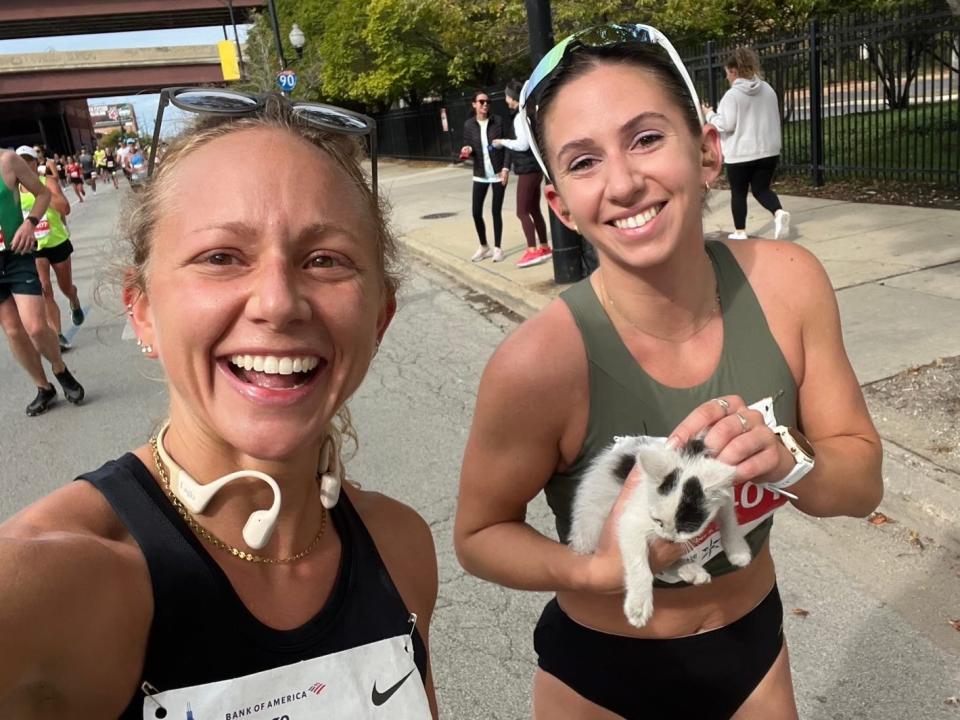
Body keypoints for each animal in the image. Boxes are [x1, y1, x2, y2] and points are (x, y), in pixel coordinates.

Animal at [568, 436, 752, 628]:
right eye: (658, 521)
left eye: (686, 527)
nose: (668, 538)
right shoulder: (630, 519)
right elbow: (639, 563)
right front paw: (638, 605)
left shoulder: (723, 495)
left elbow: (728, 515)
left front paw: (738, 551)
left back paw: (690, 569)